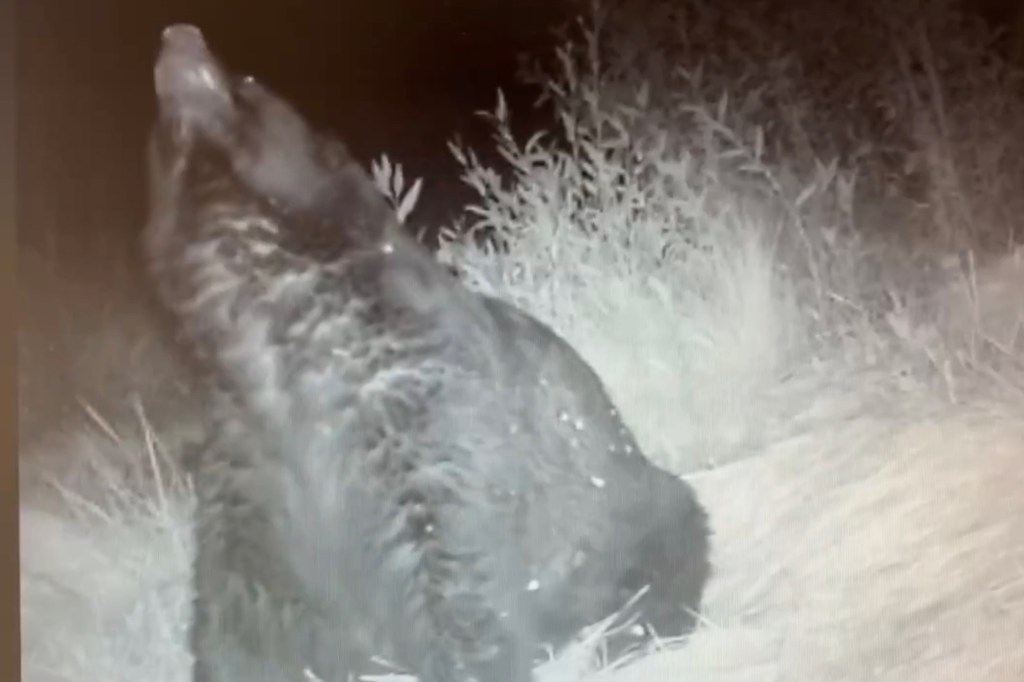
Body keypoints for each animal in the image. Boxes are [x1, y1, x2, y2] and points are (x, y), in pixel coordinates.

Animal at [144, 22, 708, 679]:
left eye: (251, 80)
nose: (178, 32)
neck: (261, 310)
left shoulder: (419, 404)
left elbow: (455, 556)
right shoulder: (241, 456)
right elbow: (237, 599)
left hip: (643, 504)